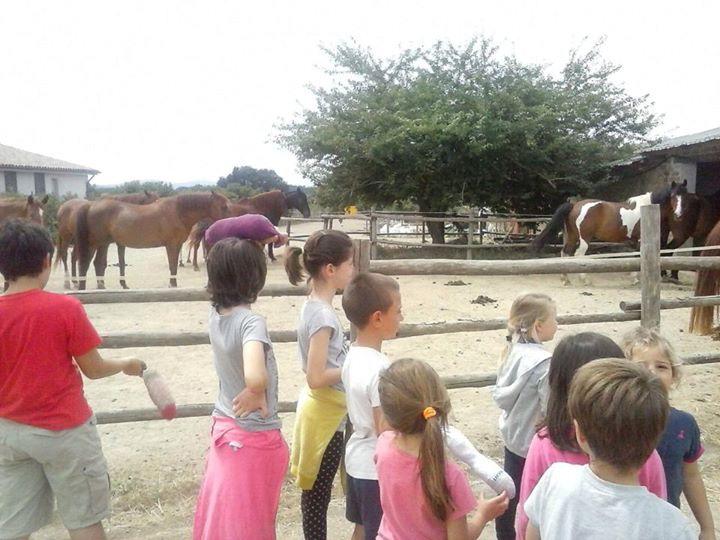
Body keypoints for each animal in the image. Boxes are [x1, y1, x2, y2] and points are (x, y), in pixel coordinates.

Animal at [75, 192, 228, 288]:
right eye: (224, 206)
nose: (229, 220)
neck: (178, 211)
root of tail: (91, 206)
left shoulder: (177, 244)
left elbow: (174, 266)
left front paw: (173, 283)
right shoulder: (171, 245)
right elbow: (172, 265)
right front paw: (172, 284)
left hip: (103, 244)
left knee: (98, 263)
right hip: (94, 243)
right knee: (85, 264)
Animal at [528, 185, 676, 286]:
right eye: (674, 197)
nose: (678, 214)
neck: (646, 207)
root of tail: (575, 205)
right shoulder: (640, 240)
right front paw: (636, 279)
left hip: (572, 237)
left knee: (565, 253)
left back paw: (566, 279)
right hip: (584, 239)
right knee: (578, 255)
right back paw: (585, 280)